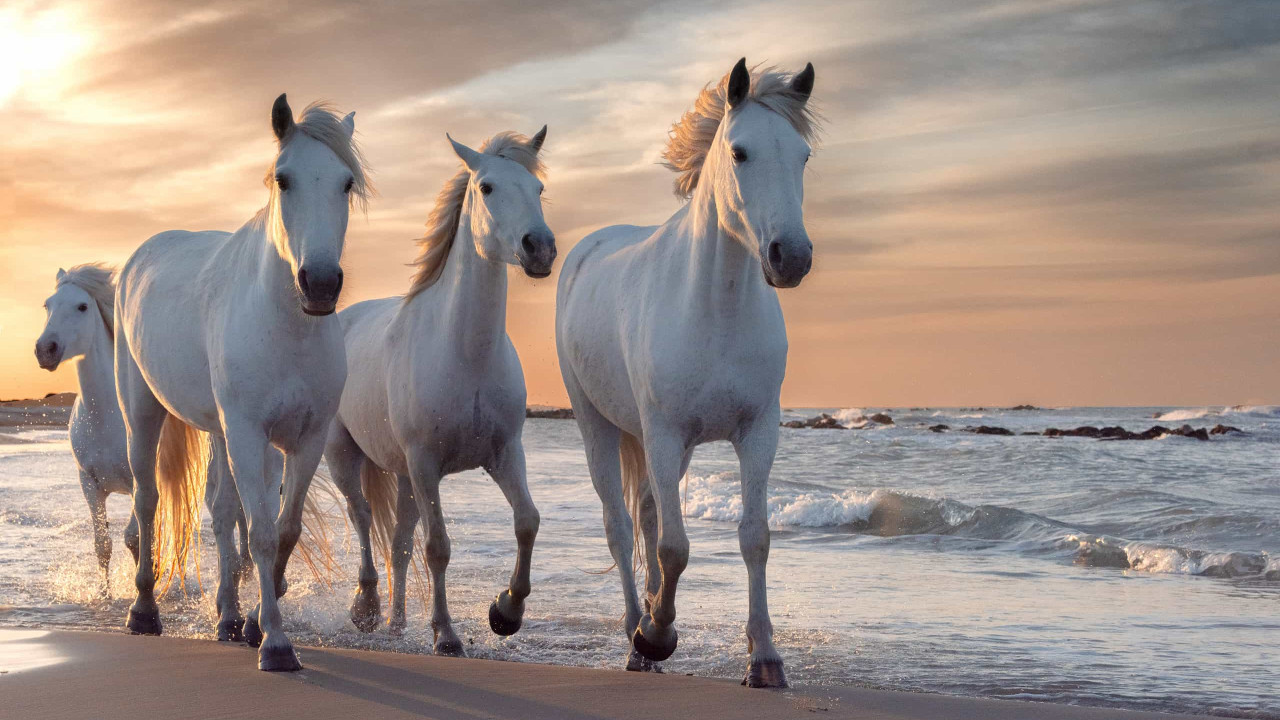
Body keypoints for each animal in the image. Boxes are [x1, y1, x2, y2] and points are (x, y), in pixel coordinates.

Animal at [113, 94, 371, 666]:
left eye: (346, 183)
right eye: (284, 179)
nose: (320, 284)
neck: (287, 328)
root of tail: (139, 257)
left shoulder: (305, 439)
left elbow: (283, 530)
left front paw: (254, 624)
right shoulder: (250, 435)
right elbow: (262, 535)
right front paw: (275, 643)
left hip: (219, 431)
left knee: (220, 510)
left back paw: (228, 618)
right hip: (142, 412)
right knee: (148, 501)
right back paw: (143, 611)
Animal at [322, 126, 552, 653]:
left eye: (538, 189)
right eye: (486, 187)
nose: (540, 248)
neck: (465, 354)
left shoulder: (504, 454)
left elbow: (526, 522)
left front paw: (505, 612)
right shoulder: (426, 463)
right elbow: (438, 546)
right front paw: (446, 634)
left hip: (404, 476)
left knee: (398, 542)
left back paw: (397, 622)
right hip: (346, 456)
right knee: (363, 518)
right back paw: (367, 609)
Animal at [552, 60, 814, 681]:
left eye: (803, 156)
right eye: (740, 153)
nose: (790, 257)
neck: (716, 309)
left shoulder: (757, 433)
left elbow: (754, 537)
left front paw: (765, 658)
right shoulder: (665, 434)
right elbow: (675, 547)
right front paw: (657, 635)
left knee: (647, 514)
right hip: (598, 426)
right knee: (620, 526)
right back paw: (636, 634)